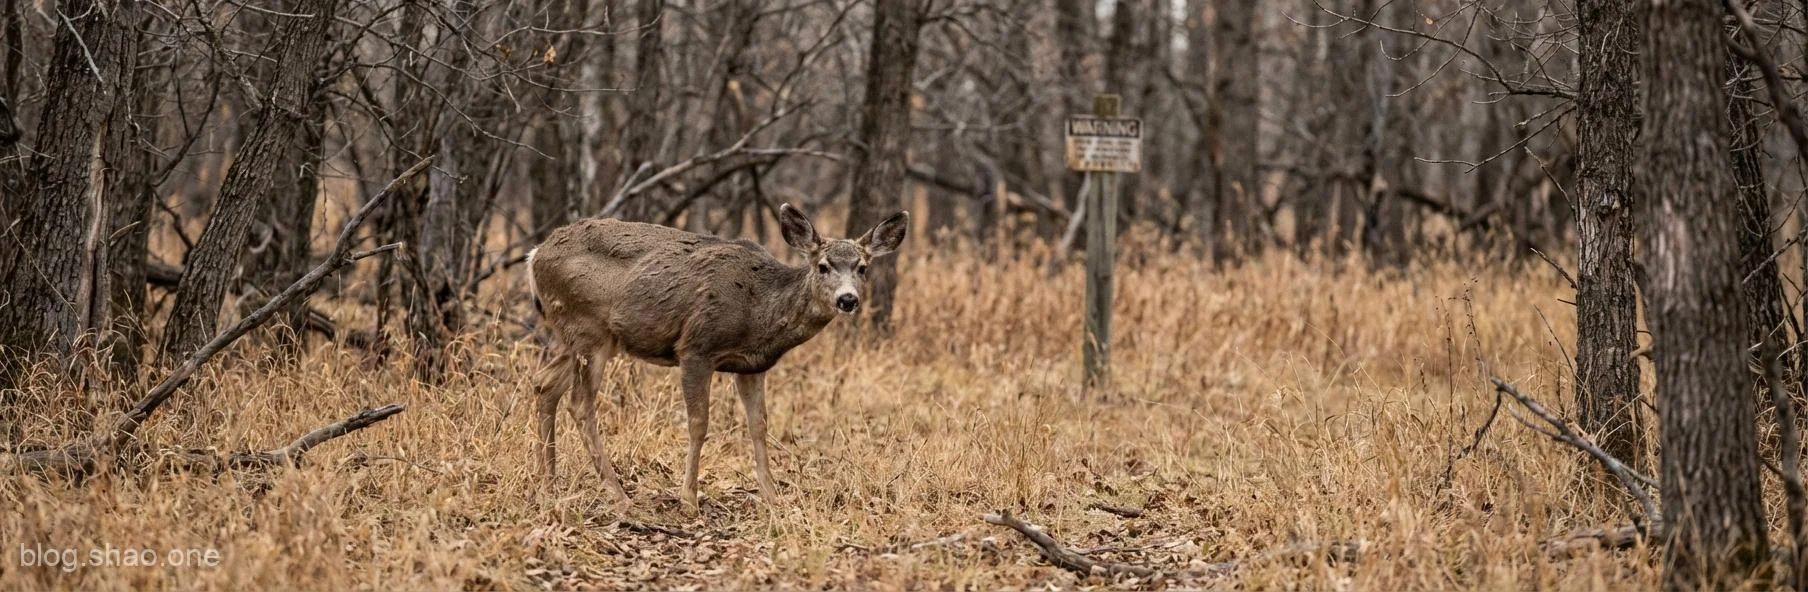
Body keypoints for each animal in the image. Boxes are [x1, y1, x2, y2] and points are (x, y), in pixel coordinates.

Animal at [526, 203, 909, 508]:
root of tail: (534, 255)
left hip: (580, 336)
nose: (848, 299)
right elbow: (699, 423)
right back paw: (618, 496)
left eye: (862, 267)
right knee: (579, 403)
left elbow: (759, 425)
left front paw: (772, 496)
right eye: (824, 265)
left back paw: (548, 485)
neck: (759, 310)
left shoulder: (752, 366)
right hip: (587, 327)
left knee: (545, 384)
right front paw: (688, 499)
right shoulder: (696, 347)